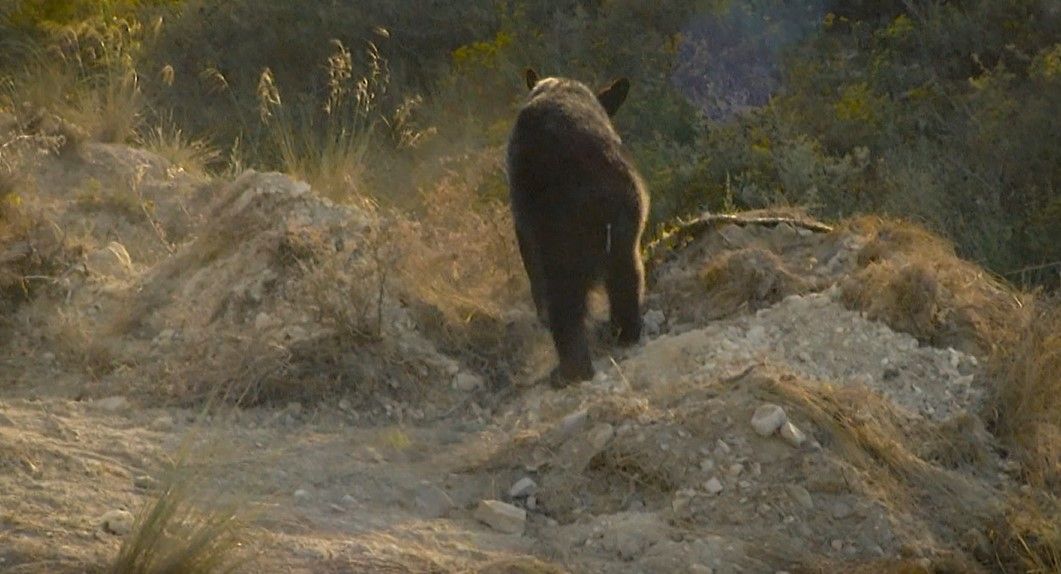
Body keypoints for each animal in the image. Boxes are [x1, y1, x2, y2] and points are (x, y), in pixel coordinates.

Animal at [506, 68, 649, 385]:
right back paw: (624, 332)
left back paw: (573, 368)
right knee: (626, 272)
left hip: (565, 224)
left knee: (565, 292)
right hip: (622, 214)